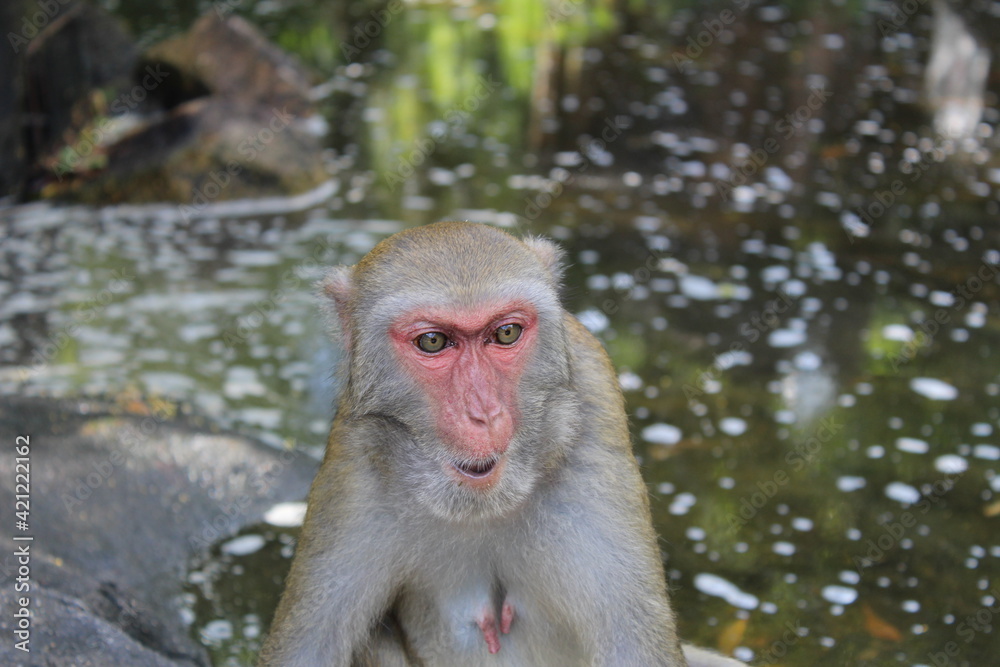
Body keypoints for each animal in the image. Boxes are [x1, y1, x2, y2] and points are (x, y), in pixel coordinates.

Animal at [258, 221, 747, 667]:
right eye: (433, 341)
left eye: (506, 333)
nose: (485, 413)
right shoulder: (357, 457)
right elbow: (308, 650)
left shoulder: (594, 413)